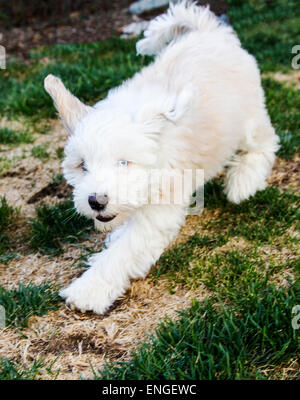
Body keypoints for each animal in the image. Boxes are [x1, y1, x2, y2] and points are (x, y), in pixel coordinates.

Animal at [44, 0, 278, 314]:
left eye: (124, 162)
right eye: (83, 166)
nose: (96, 201)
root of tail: (208, 30)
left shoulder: (158, 212)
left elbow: (124, 252)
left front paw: (88, 290)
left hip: (248, 119)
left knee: (265, 142)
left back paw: (243, 182)